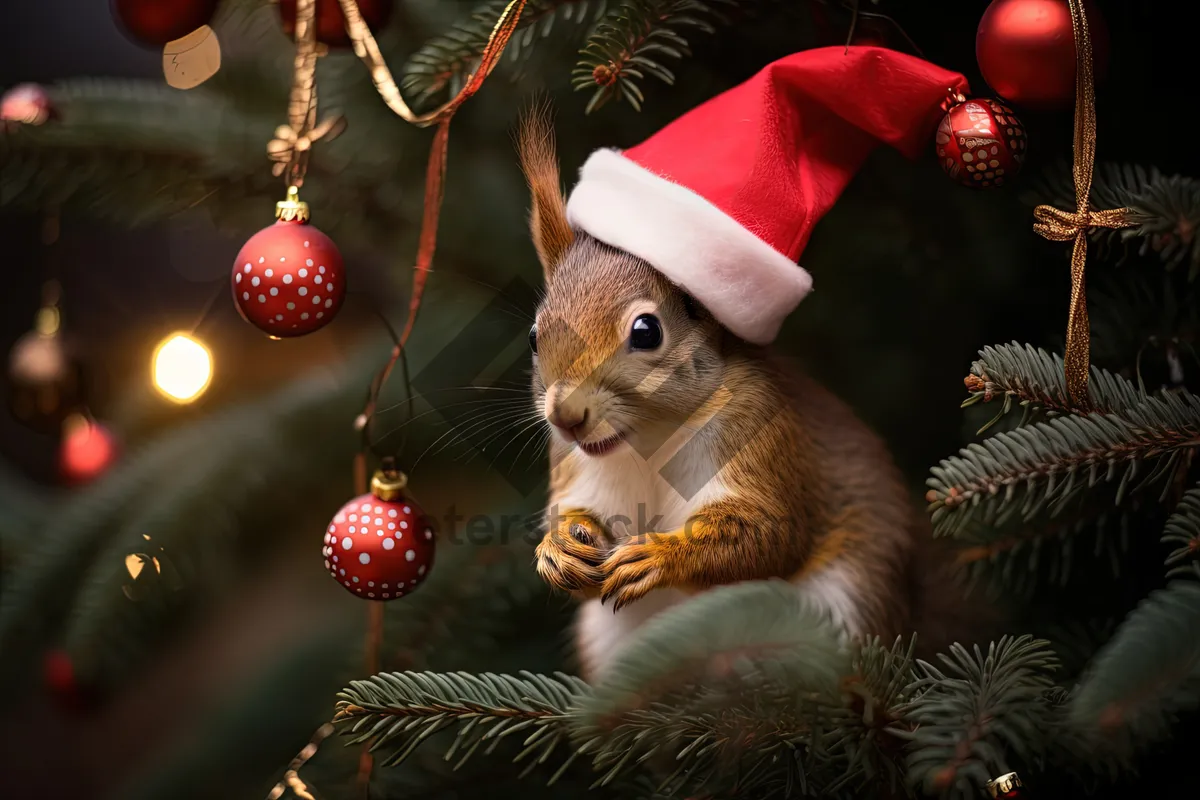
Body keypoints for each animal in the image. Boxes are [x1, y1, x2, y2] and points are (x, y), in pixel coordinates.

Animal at [518, 109, 984, 681]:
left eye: (647, 332)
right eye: (534, 336)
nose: (565, 416)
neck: (648, 441)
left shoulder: (757, 429)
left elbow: (769, 536)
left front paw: (664, 556)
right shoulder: (576, 466)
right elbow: (575, 519)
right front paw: (557, 548)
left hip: (847, 602)